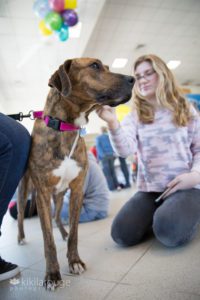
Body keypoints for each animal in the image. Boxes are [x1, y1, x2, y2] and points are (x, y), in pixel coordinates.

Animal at [17, 57, 134, 290]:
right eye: (95, 66)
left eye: (108, 67)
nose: (133, 79)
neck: (65, 127)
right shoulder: (42, 193)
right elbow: (48, 240)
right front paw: (53, 275)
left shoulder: (77, 189)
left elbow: (74, 233)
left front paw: (75, 261)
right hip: (26, 190)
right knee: (20, 216)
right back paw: (21, 237)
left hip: (60, 193)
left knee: (57, 216)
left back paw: (62, 233)